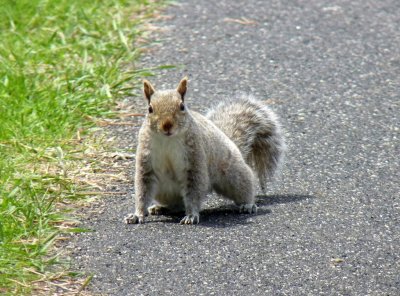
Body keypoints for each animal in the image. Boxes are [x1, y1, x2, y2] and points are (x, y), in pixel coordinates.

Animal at [125, 77, 284, 225]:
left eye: (182, 106)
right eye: (150, 109)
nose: (167, 125)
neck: (168, 139)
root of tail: (231, 142)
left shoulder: (194, 158)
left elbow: (193, 190)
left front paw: (191, 216)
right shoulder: (146, 162)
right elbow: (143, 190)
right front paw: (137, 214)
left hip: (233, 176)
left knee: (245, 186)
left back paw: (248, 205)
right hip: (164, 192)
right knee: (177, 205)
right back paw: (160, 208)